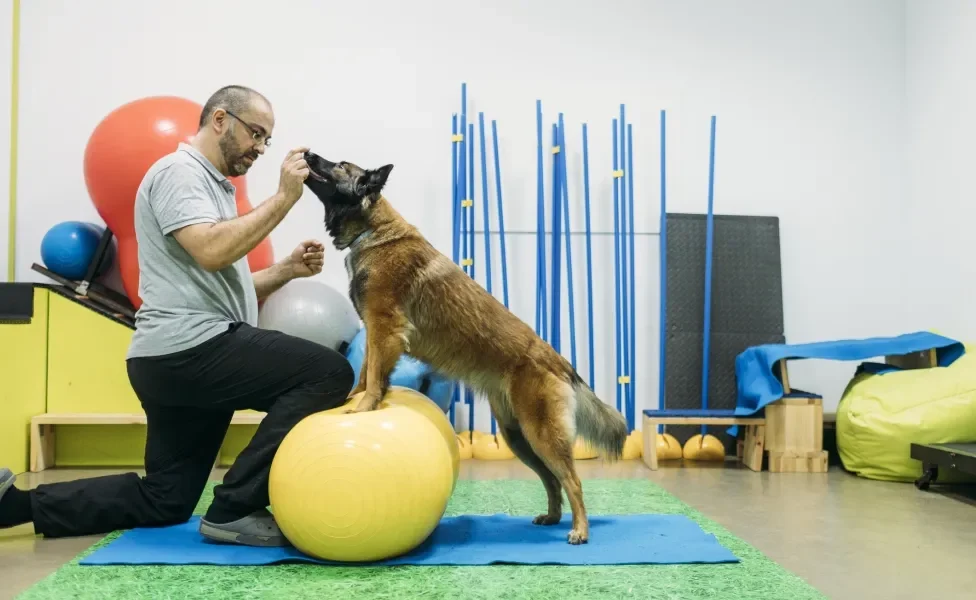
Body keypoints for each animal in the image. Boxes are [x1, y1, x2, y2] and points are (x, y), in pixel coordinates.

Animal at [302, 150, 628, 544]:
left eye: (339, 165)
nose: (306, 153)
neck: (374, 232)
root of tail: (559, 361)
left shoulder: (385, 328)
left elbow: (376, 377)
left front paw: (363, 408)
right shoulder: (376, 331)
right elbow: (367, 373)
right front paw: (354, 399)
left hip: (542, 435)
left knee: (573, 481)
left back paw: (580, 530)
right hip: (518, 437)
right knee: (552, 480)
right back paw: (552, 517)